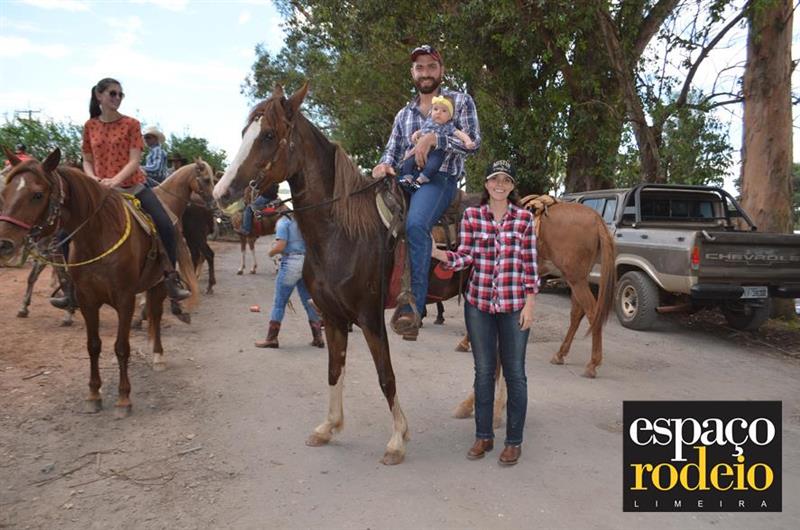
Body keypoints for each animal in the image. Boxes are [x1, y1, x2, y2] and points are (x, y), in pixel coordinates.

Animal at [0, 149, 199, 417]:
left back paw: (158, 355)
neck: (99, 236)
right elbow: (93, 345)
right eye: (5, 192)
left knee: (156, 315)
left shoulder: (125, 300)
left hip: (158, 283)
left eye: (37, 195)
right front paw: (94, 394)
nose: (5, 244)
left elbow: (122, 346)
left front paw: (124, 399)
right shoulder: (87, 300)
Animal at [214, 84, 472, 464]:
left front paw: (398, 438)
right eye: (245, 132)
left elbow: (386, 376)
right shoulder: (333, 317)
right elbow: (334, 370)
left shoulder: (370, 318)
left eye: (269, 135)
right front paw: (329, 427)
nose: (221, 193)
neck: (343, 233)